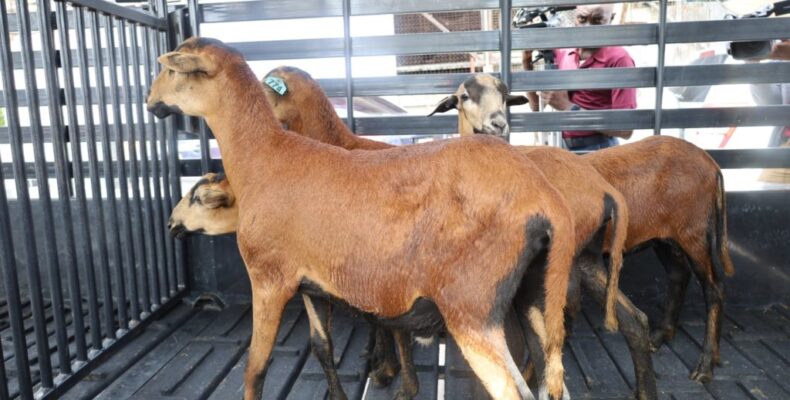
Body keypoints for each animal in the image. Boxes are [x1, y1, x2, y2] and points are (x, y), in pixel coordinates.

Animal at [147, 37, 577, 400]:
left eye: (170, 70)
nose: (151, 102)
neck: (262, 157)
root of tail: (545, 196)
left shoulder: (268, 278)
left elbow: (255, 367)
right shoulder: (312, 286)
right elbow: (323, 347)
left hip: (472, 307)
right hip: (530, 298)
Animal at [430, 76, 656, 400]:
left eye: (504, 95)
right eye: (463, 96)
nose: (498, 124)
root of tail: (605, 189)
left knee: (549, 345)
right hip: (586, 261)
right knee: (634, 321)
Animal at [583, 136, 734, 383]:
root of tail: (713, 165)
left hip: (694, 233)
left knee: (715, 287)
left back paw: (704, 367)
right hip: (664, 238)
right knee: (679, 273)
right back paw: (658, 337)